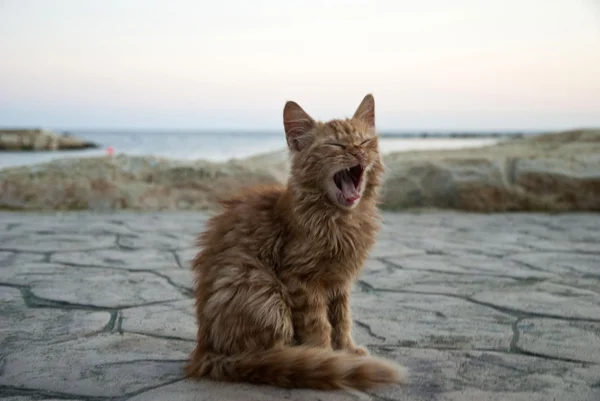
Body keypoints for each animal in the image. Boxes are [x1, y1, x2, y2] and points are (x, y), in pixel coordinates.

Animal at [185, 93, 406, 388]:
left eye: (364, 142)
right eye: (335, 145)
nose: (359, 153)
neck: (342, 221)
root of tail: (205, 353)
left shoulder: (340, 281)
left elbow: (342, 319)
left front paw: (346, 350)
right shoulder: (301, 279)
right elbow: (319, 325)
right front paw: (326, 356)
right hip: (261, 289)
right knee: (264, 355)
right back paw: (293, 359)